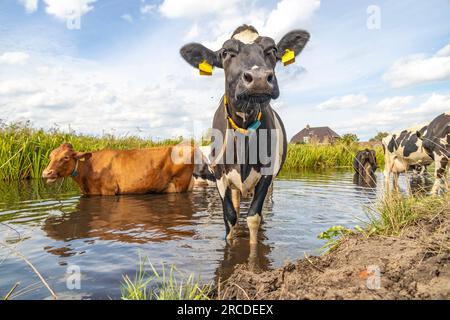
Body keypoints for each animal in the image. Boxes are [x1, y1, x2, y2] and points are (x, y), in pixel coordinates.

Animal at [181, 25, 312, 245]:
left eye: (273, 50)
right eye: (225, 53)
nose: (258, 78)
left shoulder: (267, 172)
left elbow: (253, 218)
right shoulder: (219, 174)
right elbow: (230, 217)